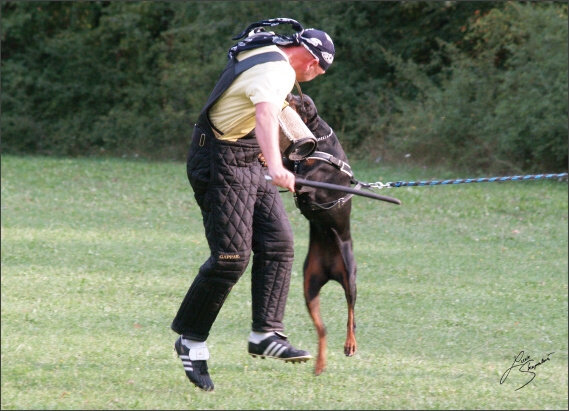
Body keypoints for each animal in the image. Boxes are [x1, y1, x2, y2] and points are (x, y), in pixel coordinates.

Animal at [282, 93, 358, 376]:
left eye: (301, 100)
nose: (288, 94)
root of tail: (330, 269)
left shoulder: (311, 180)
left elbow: (299, 178)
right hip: (310, 285)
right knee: (322, 330)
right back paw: (319, 363)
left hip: (350, 277)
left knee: (350, 314)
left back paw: (350, 344)